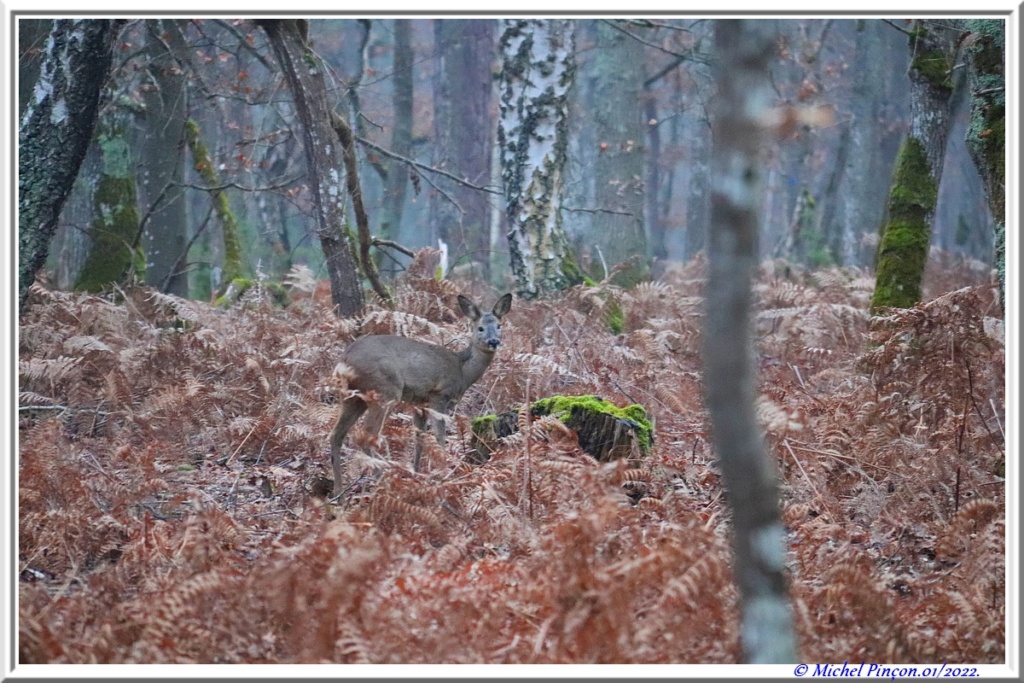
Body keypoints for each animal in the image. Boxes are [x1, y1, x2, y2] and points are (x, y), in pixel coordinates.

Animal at [327, 294, 512, 497]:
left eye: (499, 325)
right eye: (480, 328)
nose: (493, 341)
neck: (462, 371)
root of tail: (344, 362)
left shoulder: (419, 404)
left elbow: (419, 440)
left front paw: (416, 475)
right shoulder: (439, 395)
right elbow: (440, 437)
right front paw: (444, 473)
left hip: (352, 397)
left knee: (336, 434)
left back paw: (339, 493)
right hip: (385, 390)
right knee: (367, 433)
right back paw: (380, 479)